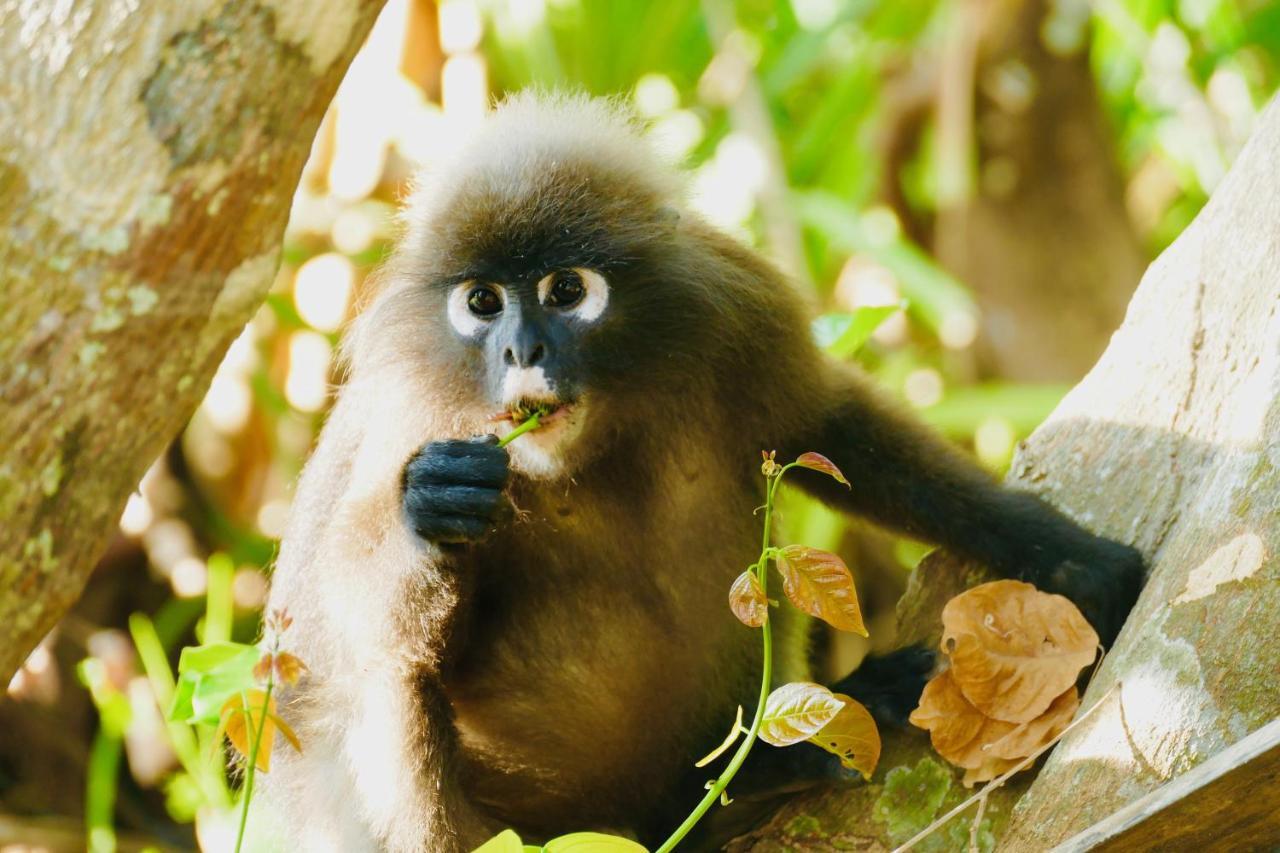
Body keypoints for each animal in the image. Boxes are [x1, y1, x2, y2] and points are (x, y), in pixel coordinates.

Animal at [257, 89, 1141, 845]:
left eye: (566, 290)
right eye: (482, 303)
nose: (520, 350)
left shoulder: (737, 306)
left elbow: (825, 424)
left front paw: (1064, 553)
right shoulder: (414, 414)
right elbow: (361, 626)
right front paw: (432, 507)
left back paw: (772, 761)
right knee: (386, 685)